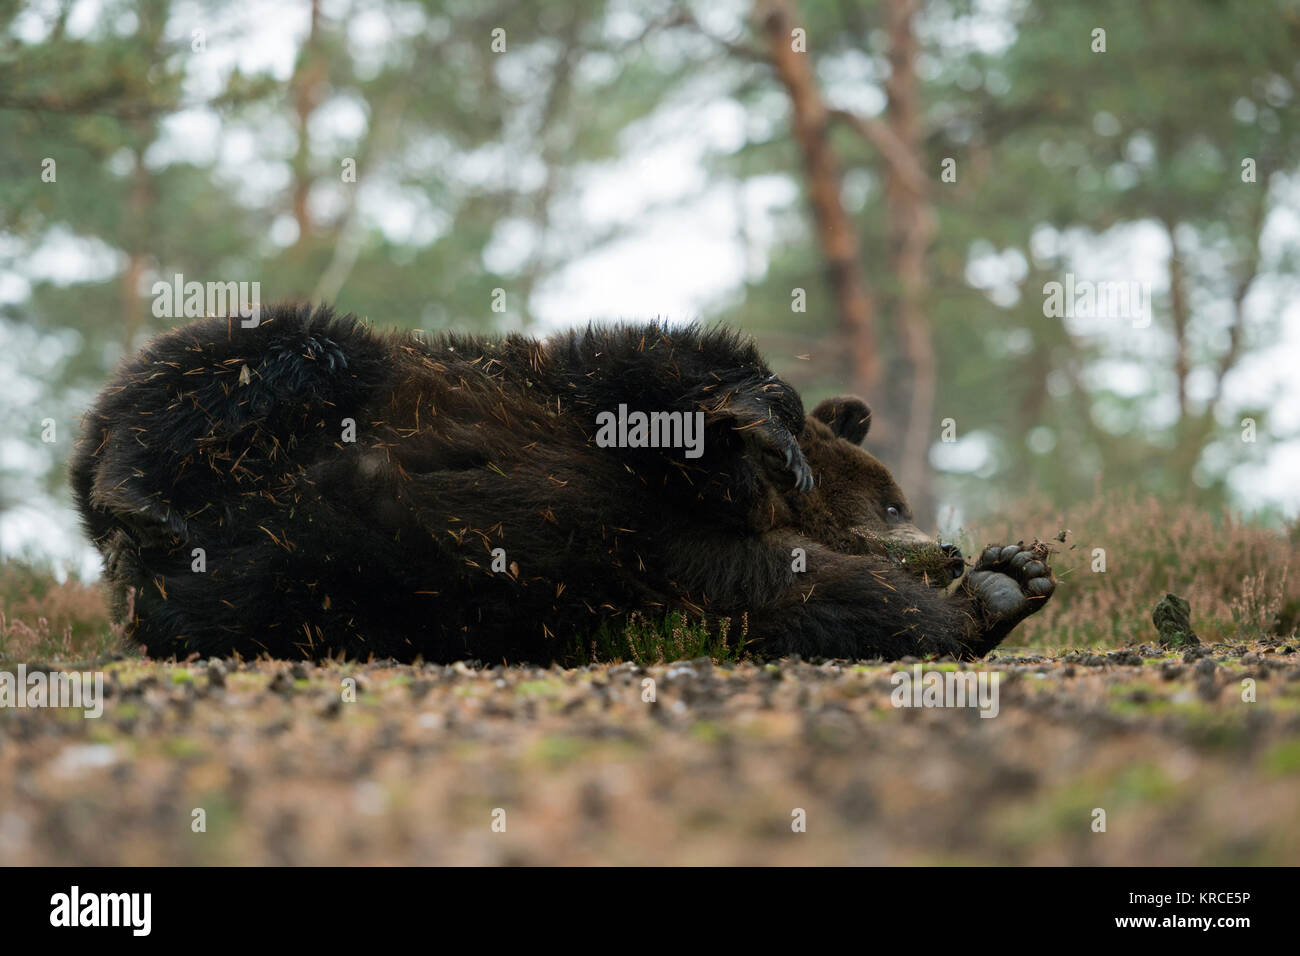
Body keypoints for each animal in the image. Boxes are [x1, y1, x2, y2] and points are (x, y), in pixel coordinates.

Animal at [71, 303, 1050, 660]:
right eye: (894, 496)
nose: (944, 543)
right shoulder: (578, 404)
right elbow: (662, 370)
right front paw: (769, 422)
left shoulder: (694, 579)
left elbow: (843, 609)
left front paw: (1006, 579)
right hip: (339, 382)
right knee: (241, 359)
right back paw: (135, 493)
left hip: (298, 588)